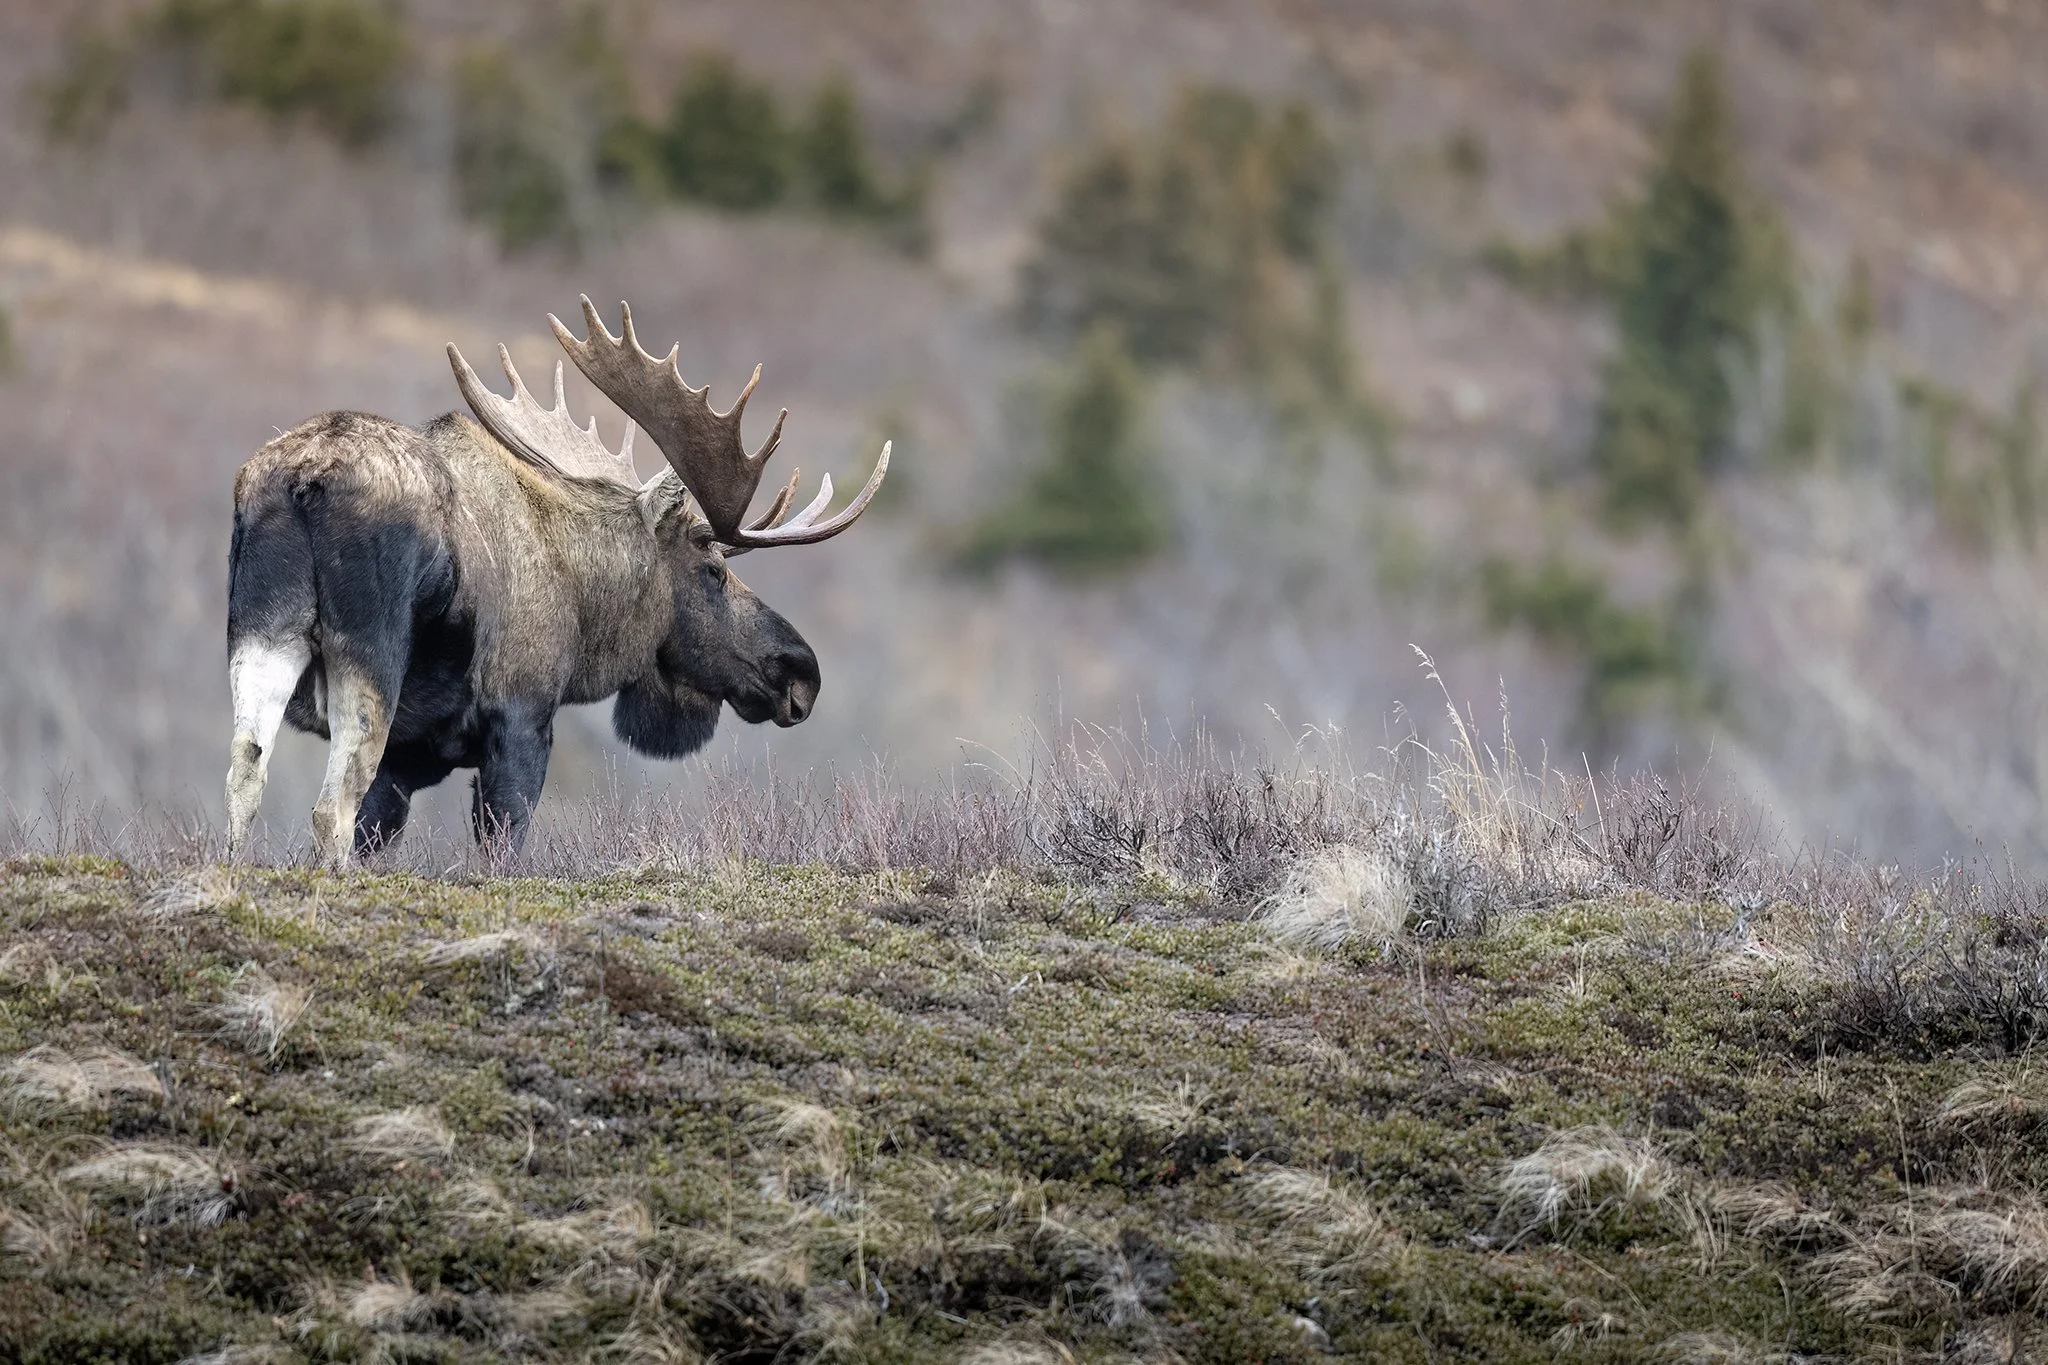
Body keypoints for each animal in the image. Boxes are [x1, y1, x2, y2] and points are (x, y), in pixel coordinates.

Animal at [223, 297, 888, 862]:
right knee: (329, 806)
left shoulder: (416, 756)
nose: (800, 671)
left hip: (264, 635)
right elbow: (501, 848)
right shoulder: (522, 715)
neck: (586, 602)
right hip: (367, 655)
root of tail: (305, 479)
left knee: (245, 773)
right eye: (713, 571)